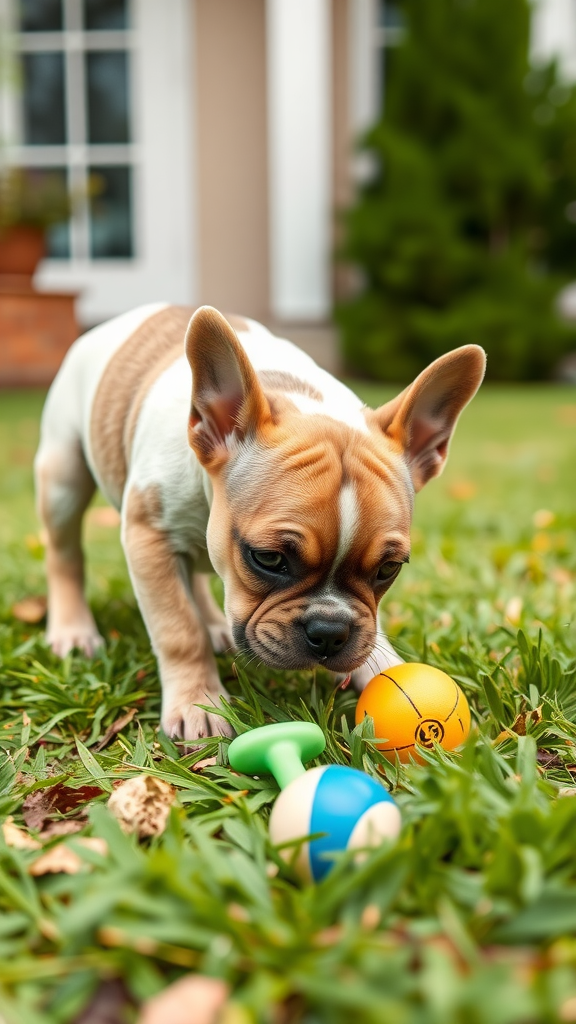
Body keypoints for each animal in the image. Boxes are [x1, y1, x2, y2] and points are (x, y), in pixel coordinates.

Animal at [34, 303, 483, 737]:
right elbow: (179, 628)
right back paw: (73, 631)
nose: (330, 630)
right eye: (268, 559)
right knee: (65, 553)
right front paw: (198, 703)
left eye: (388, 569)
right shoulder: (150, 536)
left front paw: (385, 667)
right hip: (63, 477)